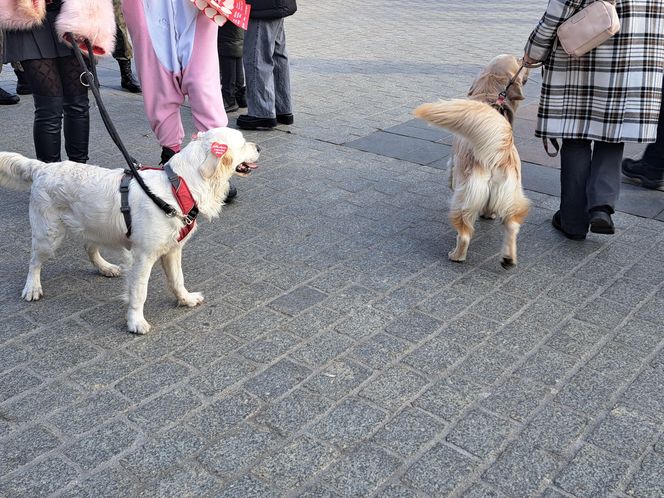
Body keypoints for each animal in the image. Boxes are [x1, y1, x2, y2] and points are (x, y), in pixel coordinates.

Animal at [0, 126, 260, 334]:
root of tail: (43, 167)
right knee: (34, 261)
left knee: (89, 247)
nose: (258, 146)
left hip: (94, 225)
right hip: (49, 235)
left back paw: (105, 268)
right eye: (242, 142)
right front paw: (136, 322)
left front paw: (185, 299)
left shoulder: (172, 250)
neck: (178, 186)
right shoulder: (143, 256)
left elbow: (178, 279)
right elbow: (139, 292)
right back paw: (32, 288)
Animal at [412, 54, 532, 268]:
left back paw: (456, 255)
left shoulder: (453, 163)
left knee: (465, 234)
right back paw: (508, 258)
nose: (525, 60)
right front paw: (489, 213)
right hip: (511, 195)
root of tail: (497, 152)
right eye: (519, 62)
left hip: (464, 198)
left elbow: (449, 174)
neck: (490, 93)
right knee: (511, 226)